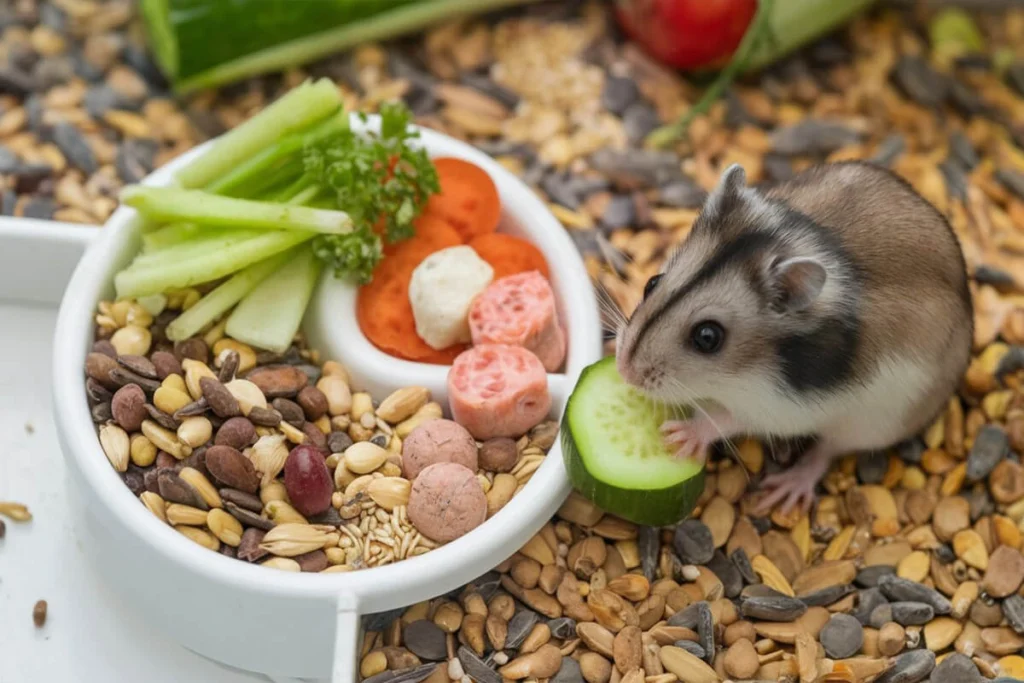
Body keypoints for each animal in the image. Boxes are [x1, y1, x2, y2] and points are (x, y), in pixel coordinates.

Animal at [614, 160, 974, 511]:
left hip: (873, 423)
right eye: (651, 283)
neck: (741, 373)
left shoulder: (779, 407)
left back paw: (784, 490)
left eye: (707, 337)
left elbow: (728, 418)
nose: (623, 371)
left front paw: (681, 435)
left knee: (827, 450)